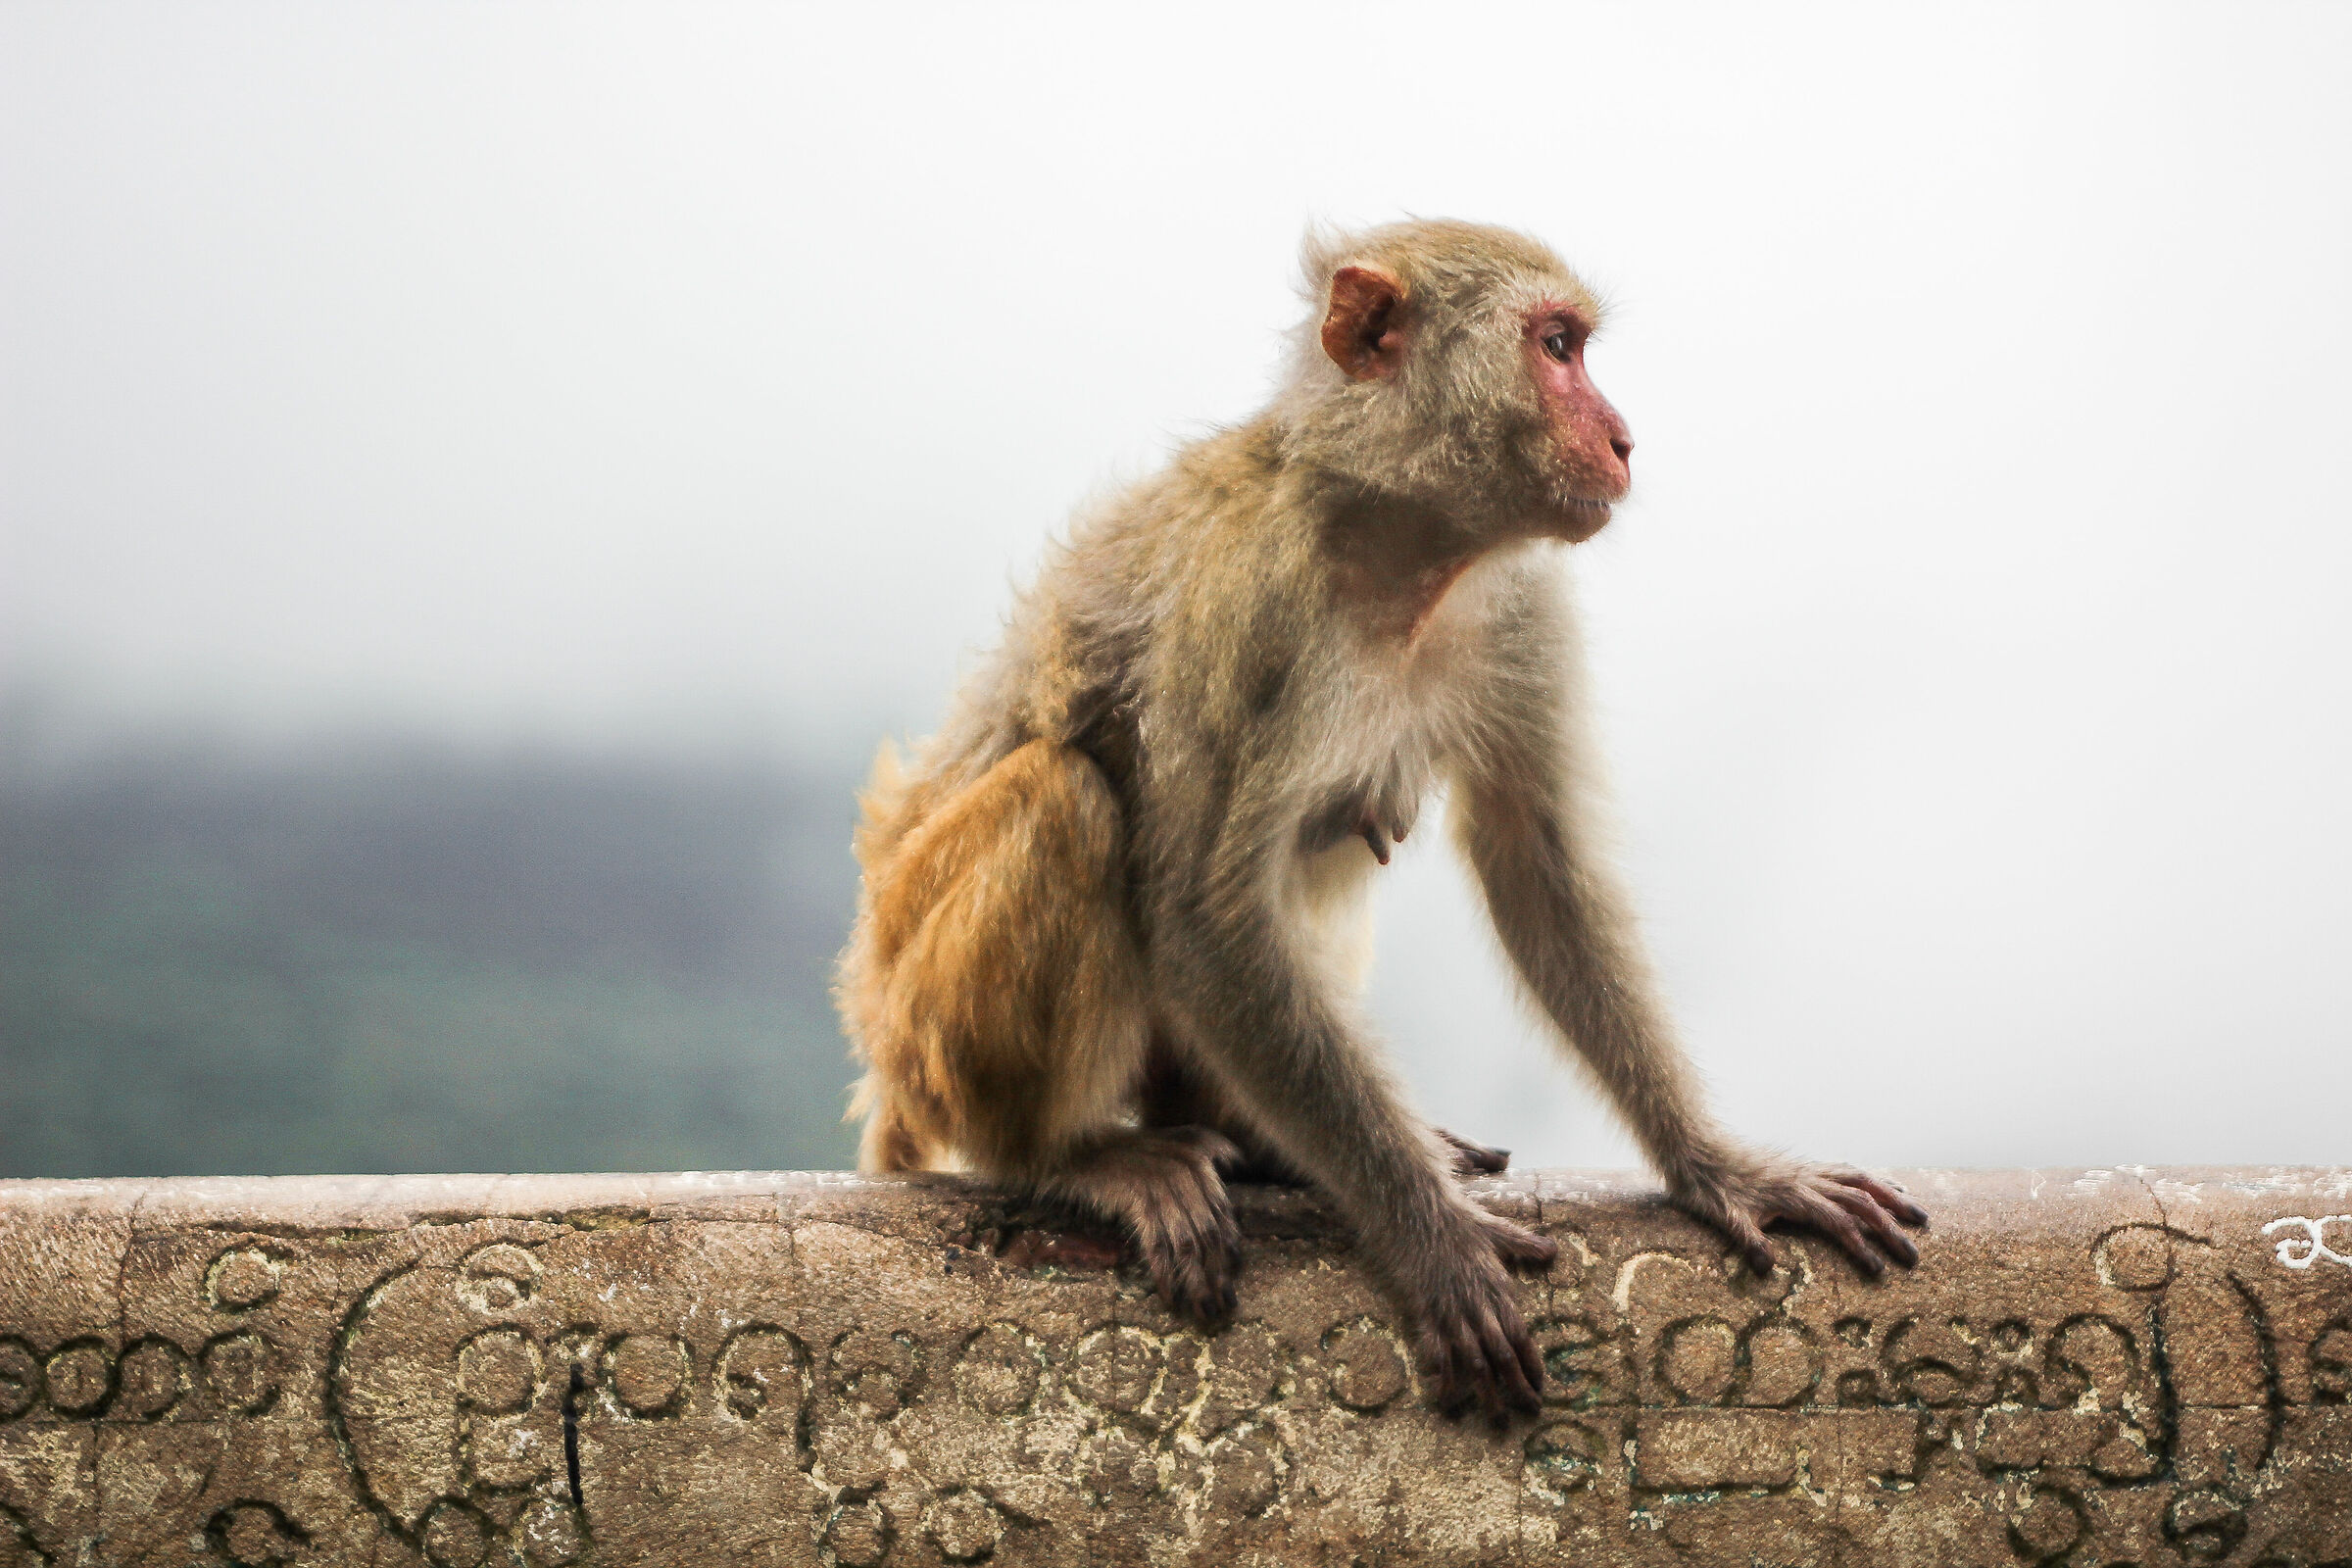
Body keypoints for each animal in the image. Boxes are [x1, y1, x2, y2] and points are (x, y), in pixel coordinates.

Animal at [836, 219, 1928, 1420]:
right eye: (1558, 347)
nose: (1624, 439)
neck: (1394, 547)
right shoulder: (1244, 602)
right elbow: (1208, 921)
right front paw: (1434, 1238)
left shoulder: (1521, 602)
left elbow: (1537, 863)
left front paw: (1715, 1164)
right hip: (923, 1033)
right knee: (1065, 800)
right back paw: (1072, 1156)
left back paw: (1246, 1132)